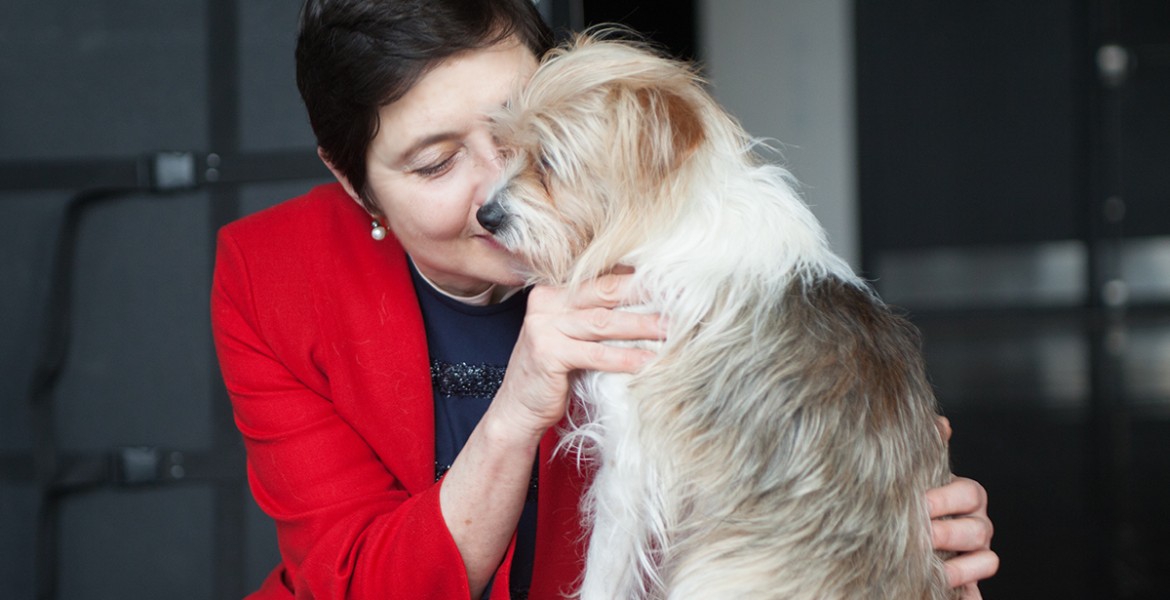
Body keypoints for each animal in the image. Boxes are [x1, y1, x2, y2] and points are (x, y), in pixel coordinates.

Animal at [475, 31, 959, 598]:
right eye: (507, 150)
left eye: (549, 161)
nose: (485, 216)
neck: (663, 225)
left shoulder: (631, 460)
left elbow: (604, 573)